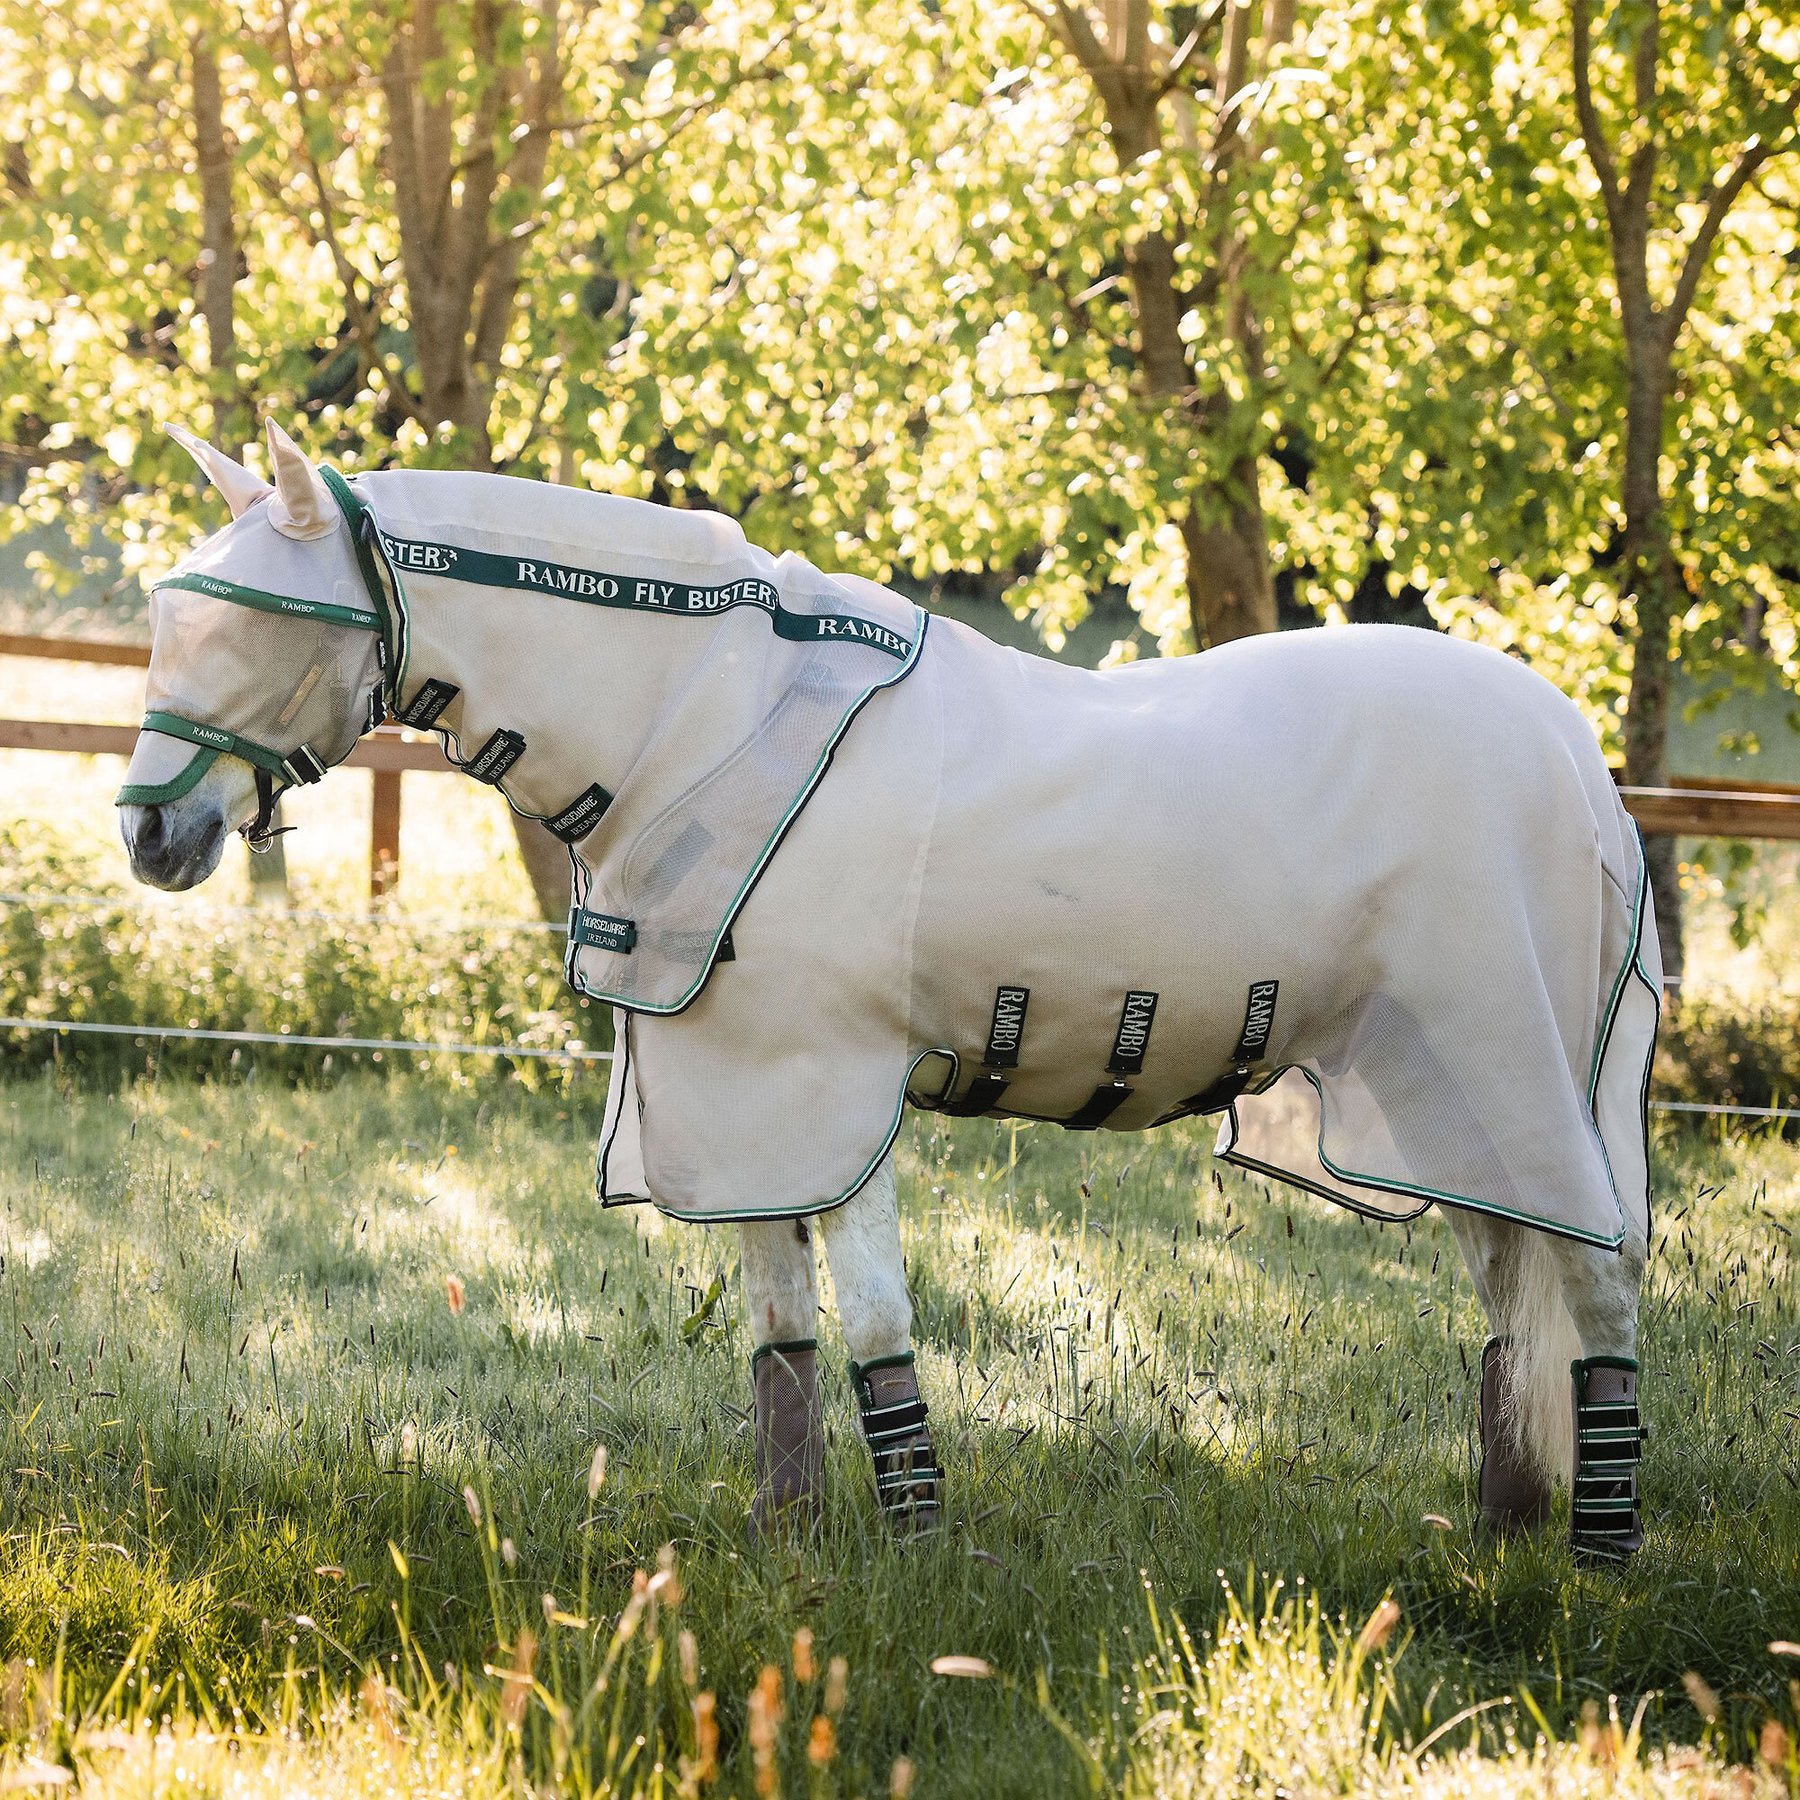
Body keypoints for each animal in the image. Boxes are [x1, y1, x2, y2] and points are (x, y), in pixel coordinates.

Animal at [119, 419, 1659, 1557]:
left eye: (264, 626)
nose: (150, 835)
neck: (714, 726)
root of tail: (1574, 757)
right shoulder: (734, 1100)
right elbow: (779, 1331)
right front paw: (790, 1533)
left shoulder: (829, 1087)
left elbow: (871, 1321)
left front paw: (916, 1543)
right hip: (1438, 1094)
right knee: (1510, 1289)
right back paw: (1507, 1521)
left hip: (1516, 1073)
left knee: (1597, 1283)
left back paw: (1600, 1552)